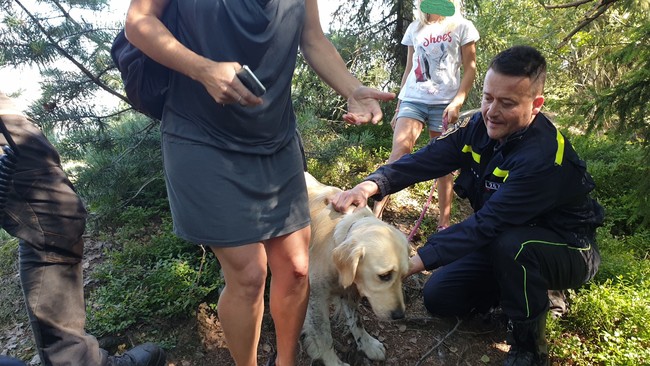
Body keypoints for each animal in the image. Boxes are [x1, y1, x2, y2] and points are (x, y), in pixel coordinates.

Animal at [302, 172, 408, 366]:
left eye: (403, 276)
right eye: (384, 276)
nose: (399, 315)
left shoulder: (350, 291)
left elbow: (356, 320)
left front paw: (367, 344)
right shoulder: (316, 297)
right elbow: (324, 335)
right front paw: (332, 361)